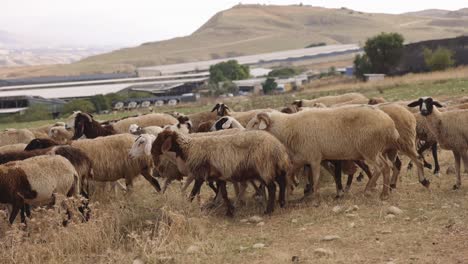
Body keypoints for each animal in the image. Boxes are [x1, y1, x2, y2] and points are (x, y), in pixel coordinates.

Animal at [152, 129, 288, 216]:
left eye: (161, 138)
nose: (152, 151)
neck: (188, 149)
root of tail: (278, 146)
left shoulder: (200, 175)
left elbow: (193, 193)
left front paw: (186, 206)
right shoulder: (219, 176)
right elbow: (224, 194)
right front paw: (229, 211)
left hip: (265, 166)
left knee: (272, 187)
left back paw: (269, 210)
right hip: (274, 167)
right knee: (282, 182)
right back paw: (281, 203)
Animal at [245, 105, 398, 204]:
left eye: (255, 123)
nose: (244, 134)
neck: (288, 128)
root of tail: (390, 123)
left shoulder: (314, 157)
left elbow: (316, 178)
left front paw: (315, 199)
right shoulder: (300, 158)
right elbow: (289, 175)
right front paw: (287, 197)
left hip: (368, 149)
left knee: (380, 167)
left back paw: (370, 190)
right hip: (376, 150)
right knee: (387, 166)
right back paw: (385, 193)